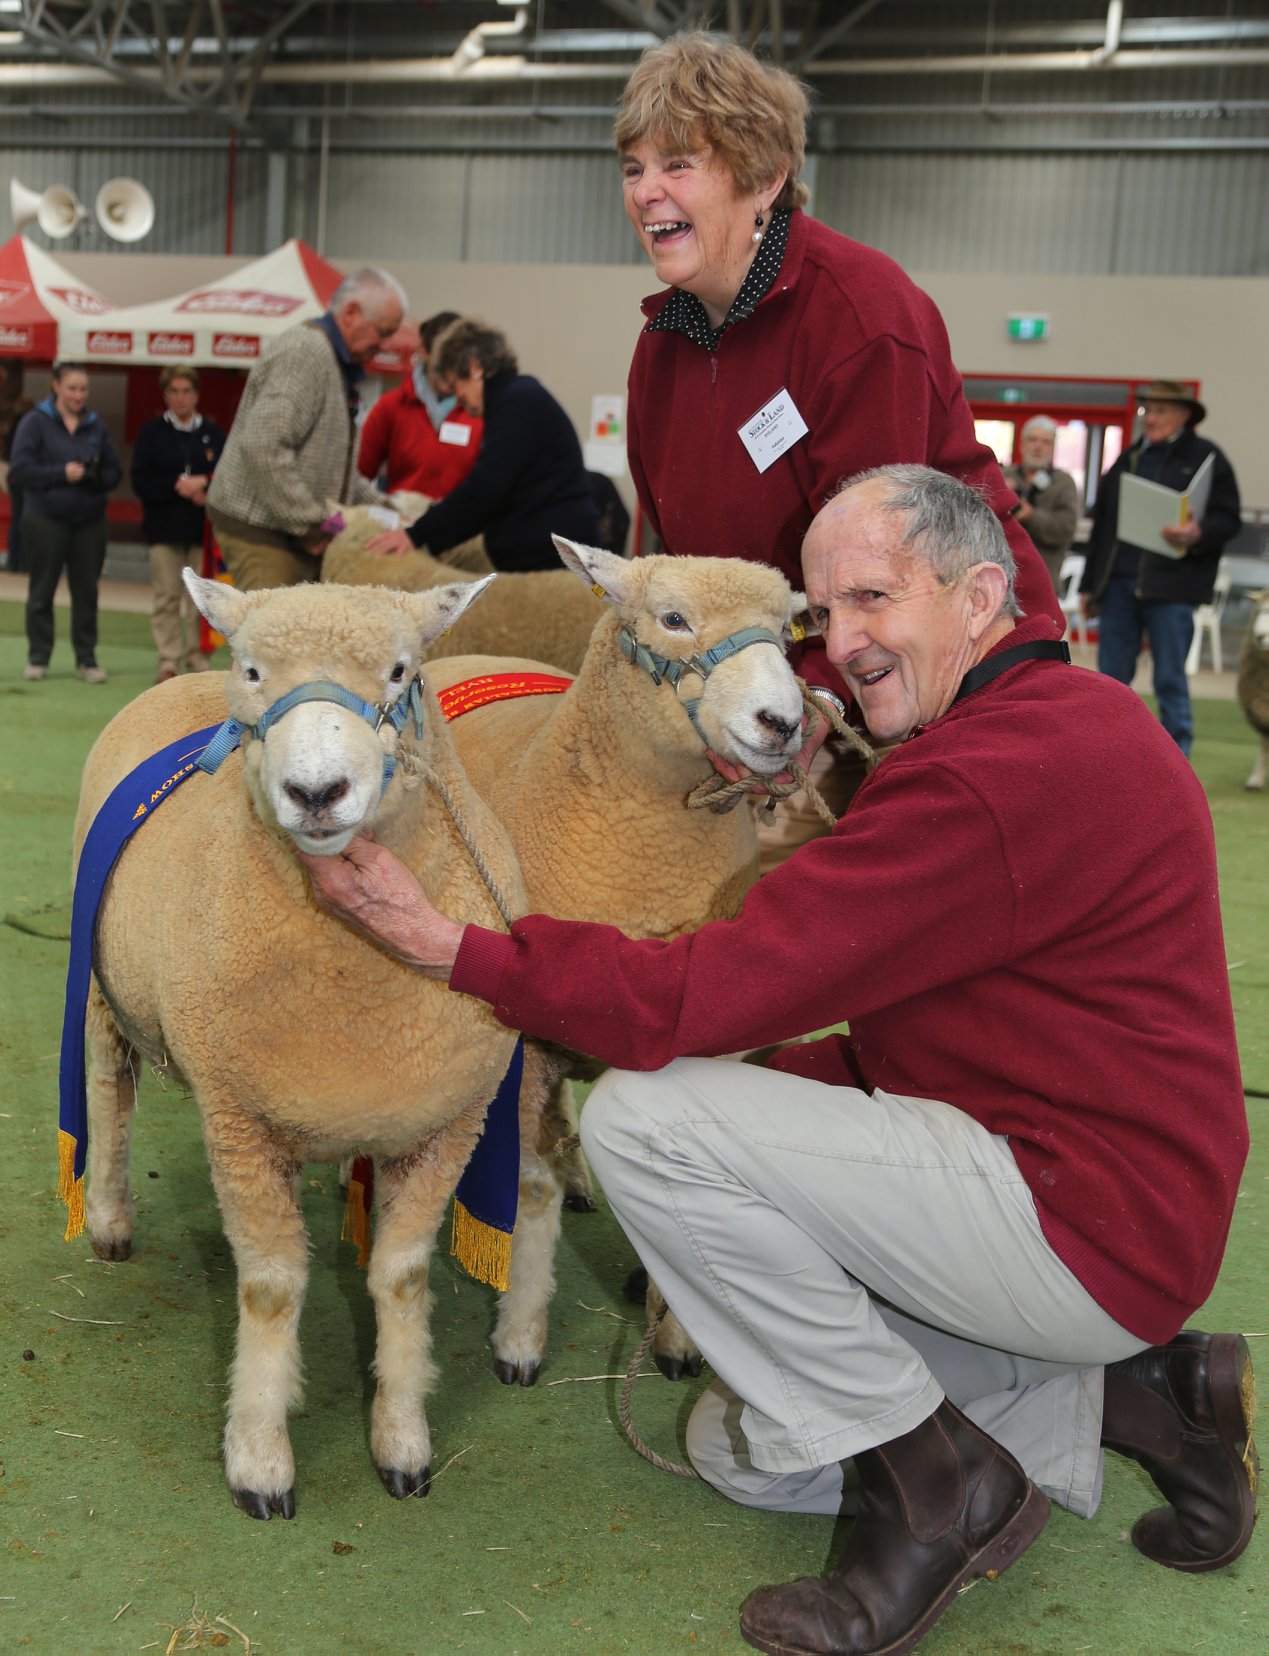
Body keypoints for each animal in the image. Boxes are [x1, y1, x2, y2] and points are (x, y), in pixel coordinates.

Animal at [73, 572, 530, 1523]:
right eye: (252, 670)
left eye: (402, 671)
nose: (315, 792)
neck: (349, 979)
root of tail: (180, 680)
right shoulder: (240, 1120)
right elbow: (271, 1285)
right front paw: (259, 1458)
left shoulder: (448, 1121)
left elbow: (401, 1279)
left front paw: (401, 1441)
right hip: (100, 983)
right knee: (109, 1089)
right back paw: (109, 1219)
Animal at [427, 543, 821, 1384]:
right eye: (671, 618)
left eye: (785, 630)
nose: (782, 723)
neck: (643, 854)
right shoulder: (528, 1041)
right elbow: (529, 1187)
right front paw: (519, 1339)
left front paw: (677, 1340)